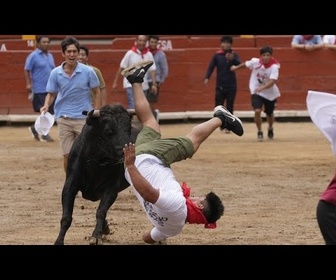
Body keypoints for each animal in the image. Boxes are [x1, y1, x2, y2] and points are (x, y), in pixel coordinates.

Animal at [54, 104, 141, 244]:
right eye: (108, 131)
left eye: (128, 129)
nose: (129, 153)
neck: (97, 161)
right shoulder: (70, 185)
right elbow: (66, 216)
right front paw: (59, 240)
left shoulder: (111, 189)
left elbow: (101, 211)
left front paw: (96, 236)